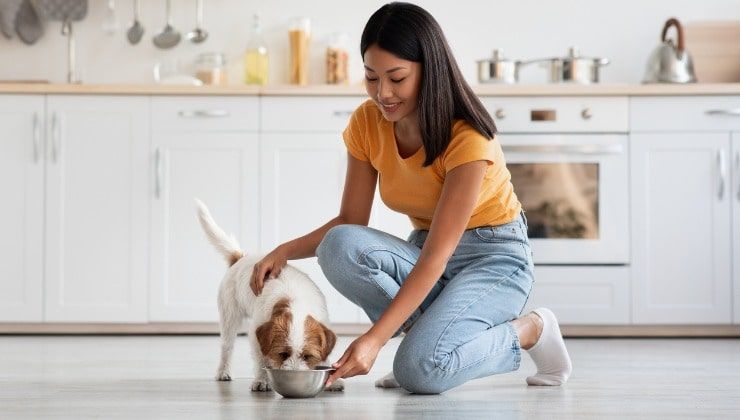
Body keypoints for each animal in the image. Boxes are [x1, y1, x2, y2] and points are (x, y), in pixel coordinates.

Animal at [191, 199, 342, 392]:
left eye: (307, 356)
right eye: (282, 354)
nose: (295, 375)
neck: (296, 302)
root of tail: (241, 257)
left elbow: (325, 355)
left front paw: (333, 380)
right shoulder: (256, 335)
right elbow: (261, 359)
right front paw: (262, 380)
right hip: (229, 318)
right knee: (227, 347)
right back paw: (223, 371)